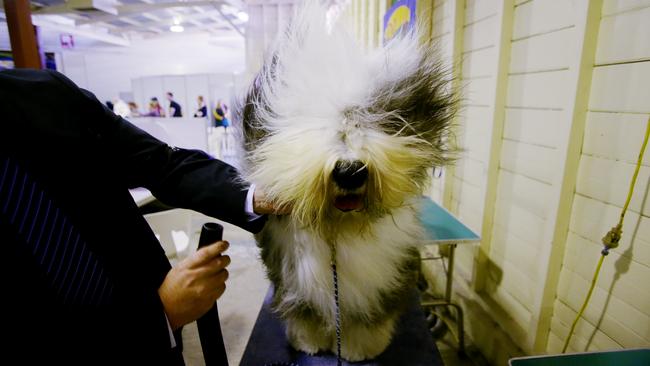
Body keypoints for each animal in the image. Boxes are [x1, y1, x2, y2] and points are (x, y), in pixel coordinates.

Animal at [235, 3, 454, 364]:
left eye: (376, 122)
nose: (350, 171)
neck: (339, 230)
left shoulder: (380, 280)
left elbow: (368, 320)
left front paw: (360, 350)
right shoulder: (294, 278)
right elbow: (305, 315)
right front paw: (309, 342)